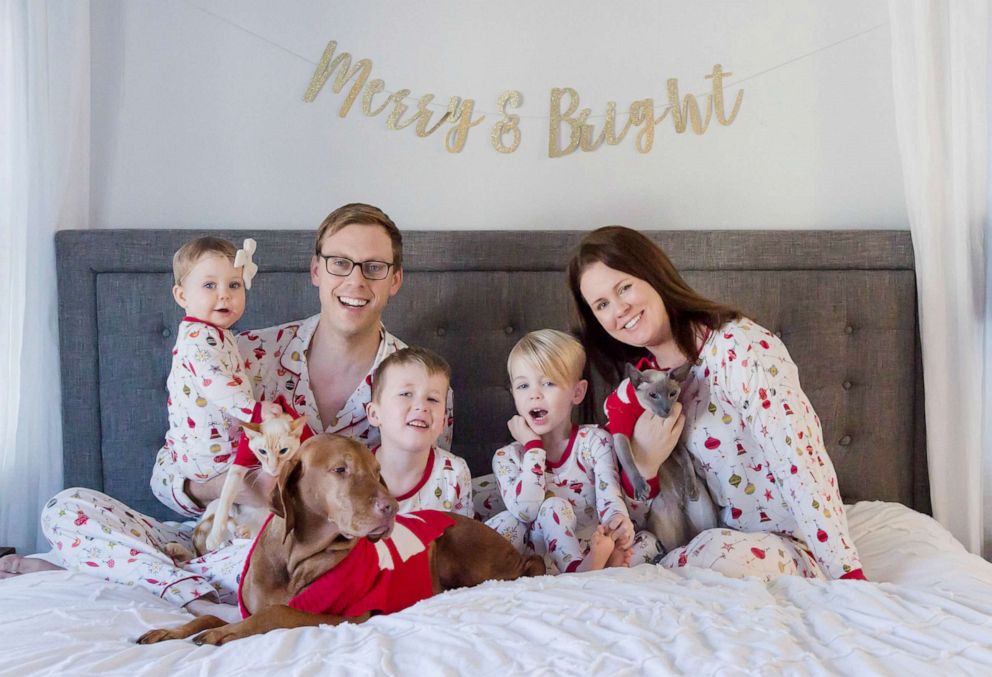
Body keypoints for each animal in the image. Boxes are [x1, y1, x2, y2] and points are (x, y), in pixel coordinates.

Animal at [137, 434, 548, 644]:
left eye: (378, 471)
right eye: (340, 470)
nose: (391, 507)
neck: (294, 558)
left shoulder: (343, 616)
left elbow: (277, 611)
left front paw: (224, 633)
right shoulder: (245, 606)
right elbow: (209, 613)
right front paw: (170, 630)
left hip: (466, 553)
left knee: (531, 564)